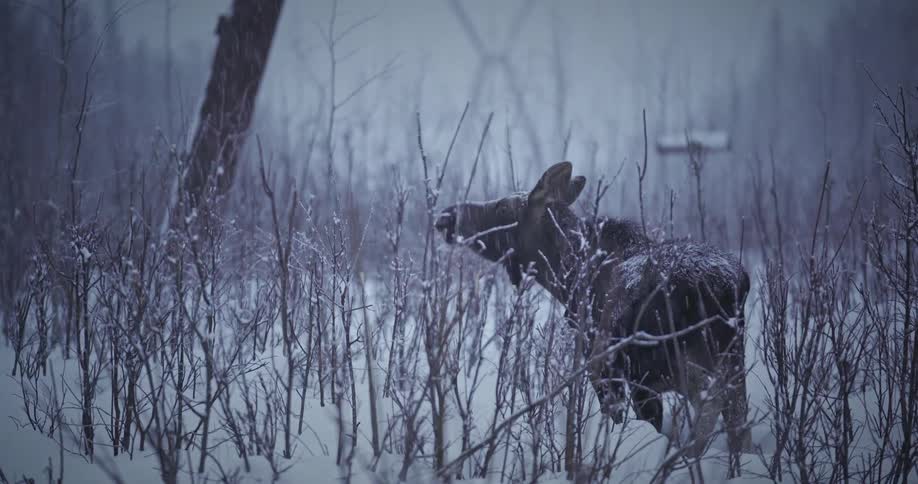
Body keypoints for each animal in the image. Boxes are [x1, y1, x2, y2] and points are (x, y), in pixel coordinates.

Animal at [434, 161, 752, 473]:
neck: (566, 278)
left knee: (711, 408)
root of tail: (733, 285)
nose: (446, 217)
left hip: (679, 361)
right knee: (737, 422)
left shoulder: (610, 369)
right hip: (731, 360)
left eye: (502, 208)